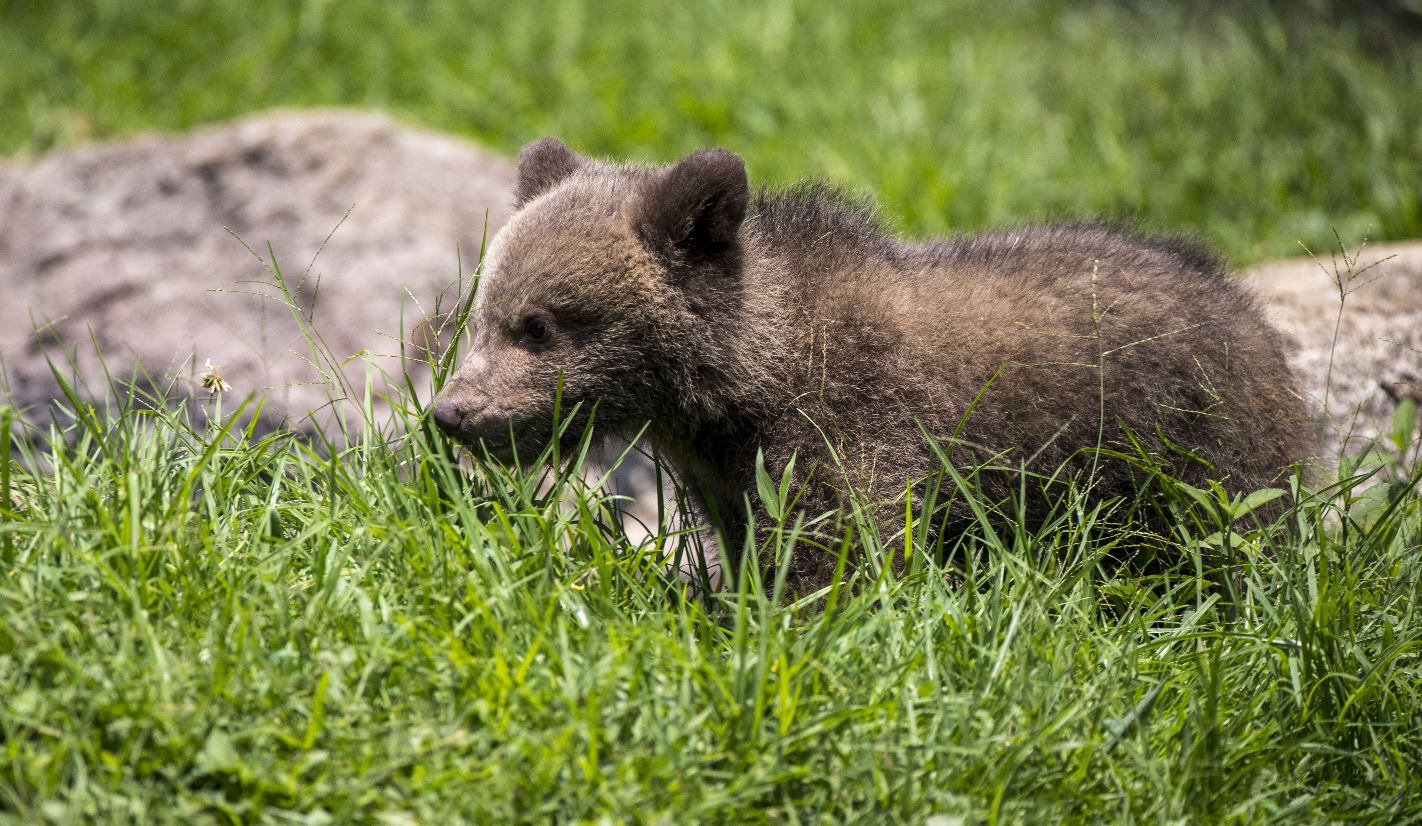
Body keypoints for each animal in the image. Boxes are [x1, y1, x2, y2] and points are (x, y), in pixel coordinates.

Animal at [431, 139, 1309, 589]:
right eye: (485, 312)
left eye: (539, 325)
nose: (452, 410)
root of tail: (1249, 311)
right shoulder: (728, 471)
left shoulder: (850, 431)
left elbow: (840, 555)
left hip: (1194, 460)